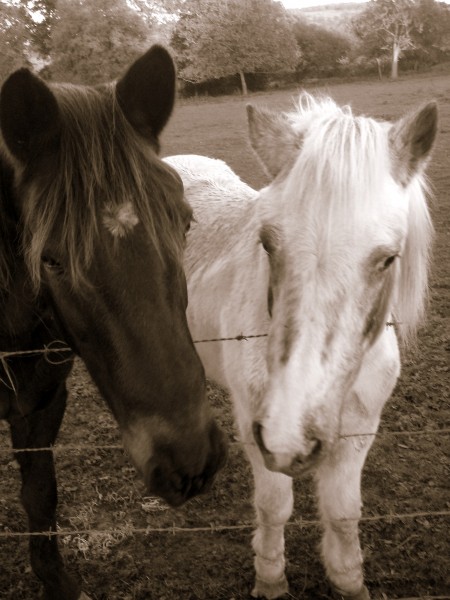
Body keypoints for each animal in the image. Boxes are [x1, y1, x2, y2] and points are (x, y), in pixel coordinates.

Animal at [0, 47, 225, 600]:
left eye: (185, 222)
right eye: (50, 259)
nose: (189, 461)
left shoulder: (42, 404)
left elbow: (40, 494)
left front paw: (56, 580)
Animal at [164, 95, 436, 600]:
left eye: (389, 258)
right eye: (268, 244)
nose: (290, 434)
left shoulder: (359, 428)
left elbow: (344, 511)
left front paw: (349, 579)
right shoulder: (258, 429)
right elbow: (274, 507)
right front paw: (270, 578)